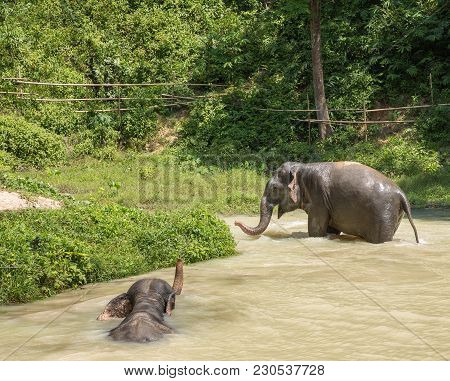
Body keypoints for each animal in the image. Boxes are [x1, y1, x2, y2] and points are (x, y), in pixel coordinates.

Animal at [236, 160, 418, 243]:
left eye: (274, 188)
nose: (236, 222)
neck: (302, 167)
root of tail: (401, 193)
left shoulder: (319, 198)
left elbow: (316, 231)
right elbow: (331, 228)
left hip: (383, 213)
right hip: (395, 214)